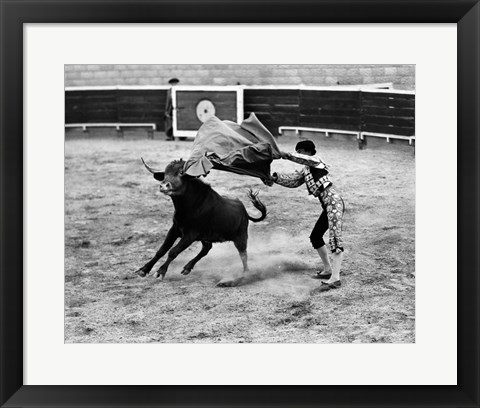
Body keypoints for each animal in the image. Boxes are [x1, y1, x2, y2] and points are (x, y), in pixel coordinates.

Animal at [137, 157, 268, 286]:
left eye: (181, 172)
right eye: (165, 173)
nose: (164, 186)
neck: (187, 206)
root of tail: (244, 212)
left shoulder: (190, 235)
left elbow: (173, 251)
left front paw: (160, 272)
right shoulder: (175, 229)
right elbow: (162, 250)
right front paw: (144, 269)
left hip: (241, 237)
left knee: (243, 255)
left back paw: (244, 276)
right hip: (206, 237)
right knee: (206, 248)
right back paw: (187, 268)